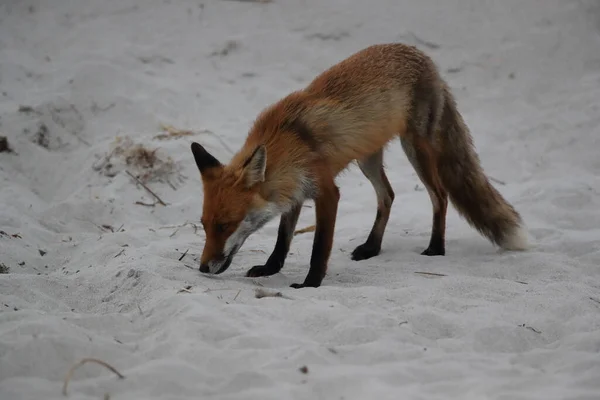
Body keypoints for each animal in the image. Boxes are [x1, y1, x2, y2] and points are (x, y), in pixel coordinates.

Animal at [190, 43, 528, 288]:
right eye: (204, 225)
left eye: (225, 226)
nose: (203, 267)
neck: (287, 139)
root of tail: (422, 55)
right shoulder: (295, 191)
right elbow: (282, 239)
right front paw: (271, 268)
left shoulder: (326, 191)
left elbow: (319, 247)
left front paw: (310, 284)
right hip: (368, 158)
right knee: (388, 195)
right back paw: (372, 247)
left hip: (415, 148)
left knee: (439, 196)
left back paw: (435, 247)